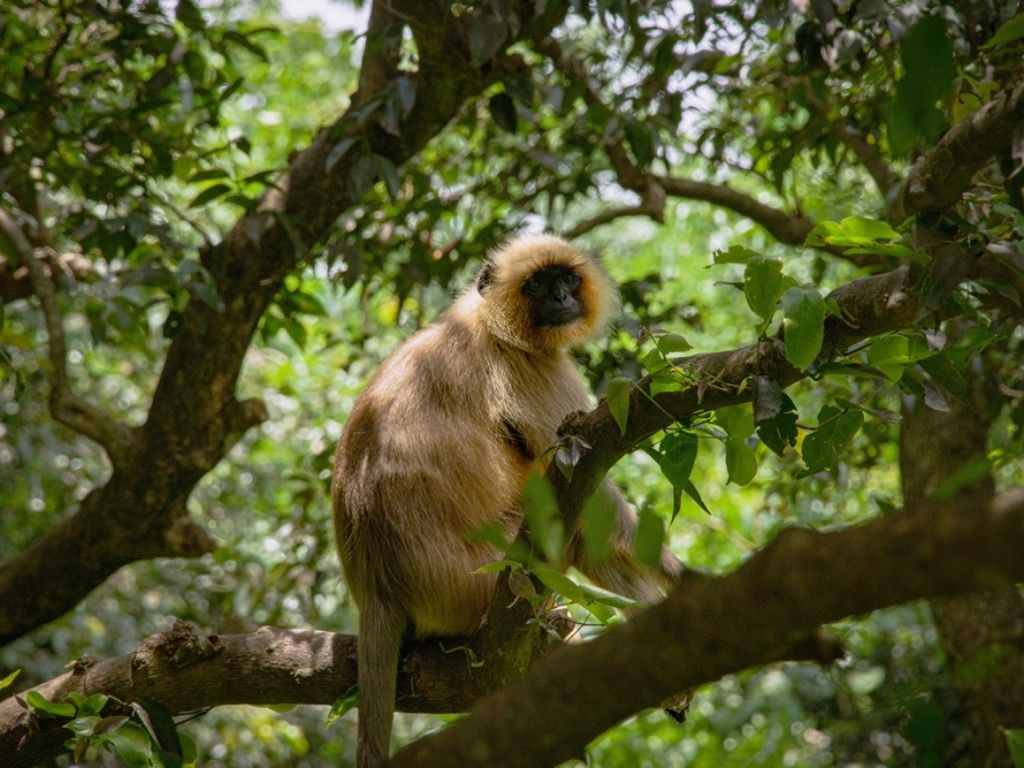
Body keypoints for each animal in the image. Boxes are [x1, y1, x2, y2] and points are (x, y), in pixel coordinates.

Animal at [332, 233, 682, 767]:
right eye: (538, 284)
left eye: (566, 279)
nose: (560, 297)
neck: (486, 322)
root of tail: (377, 588)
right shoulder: (532, 369)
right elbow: (590, 480)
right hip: (479, 579)